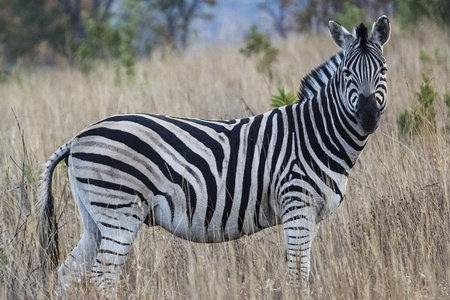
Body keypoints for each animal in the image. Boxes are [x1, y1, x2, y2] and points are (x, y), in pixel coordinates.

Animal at [38, 15, 390, 296]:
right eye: (347, 73)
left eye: (383, 70)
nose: (368, 117)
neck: (316, 133)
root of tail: (77, 137)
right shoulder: (297, 206)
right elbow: (296, 275)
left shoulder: (310, 216)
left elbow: (298, 270)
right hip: (120, 211)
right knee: (104, 275)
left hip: (96, 216)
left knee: (68, 271)